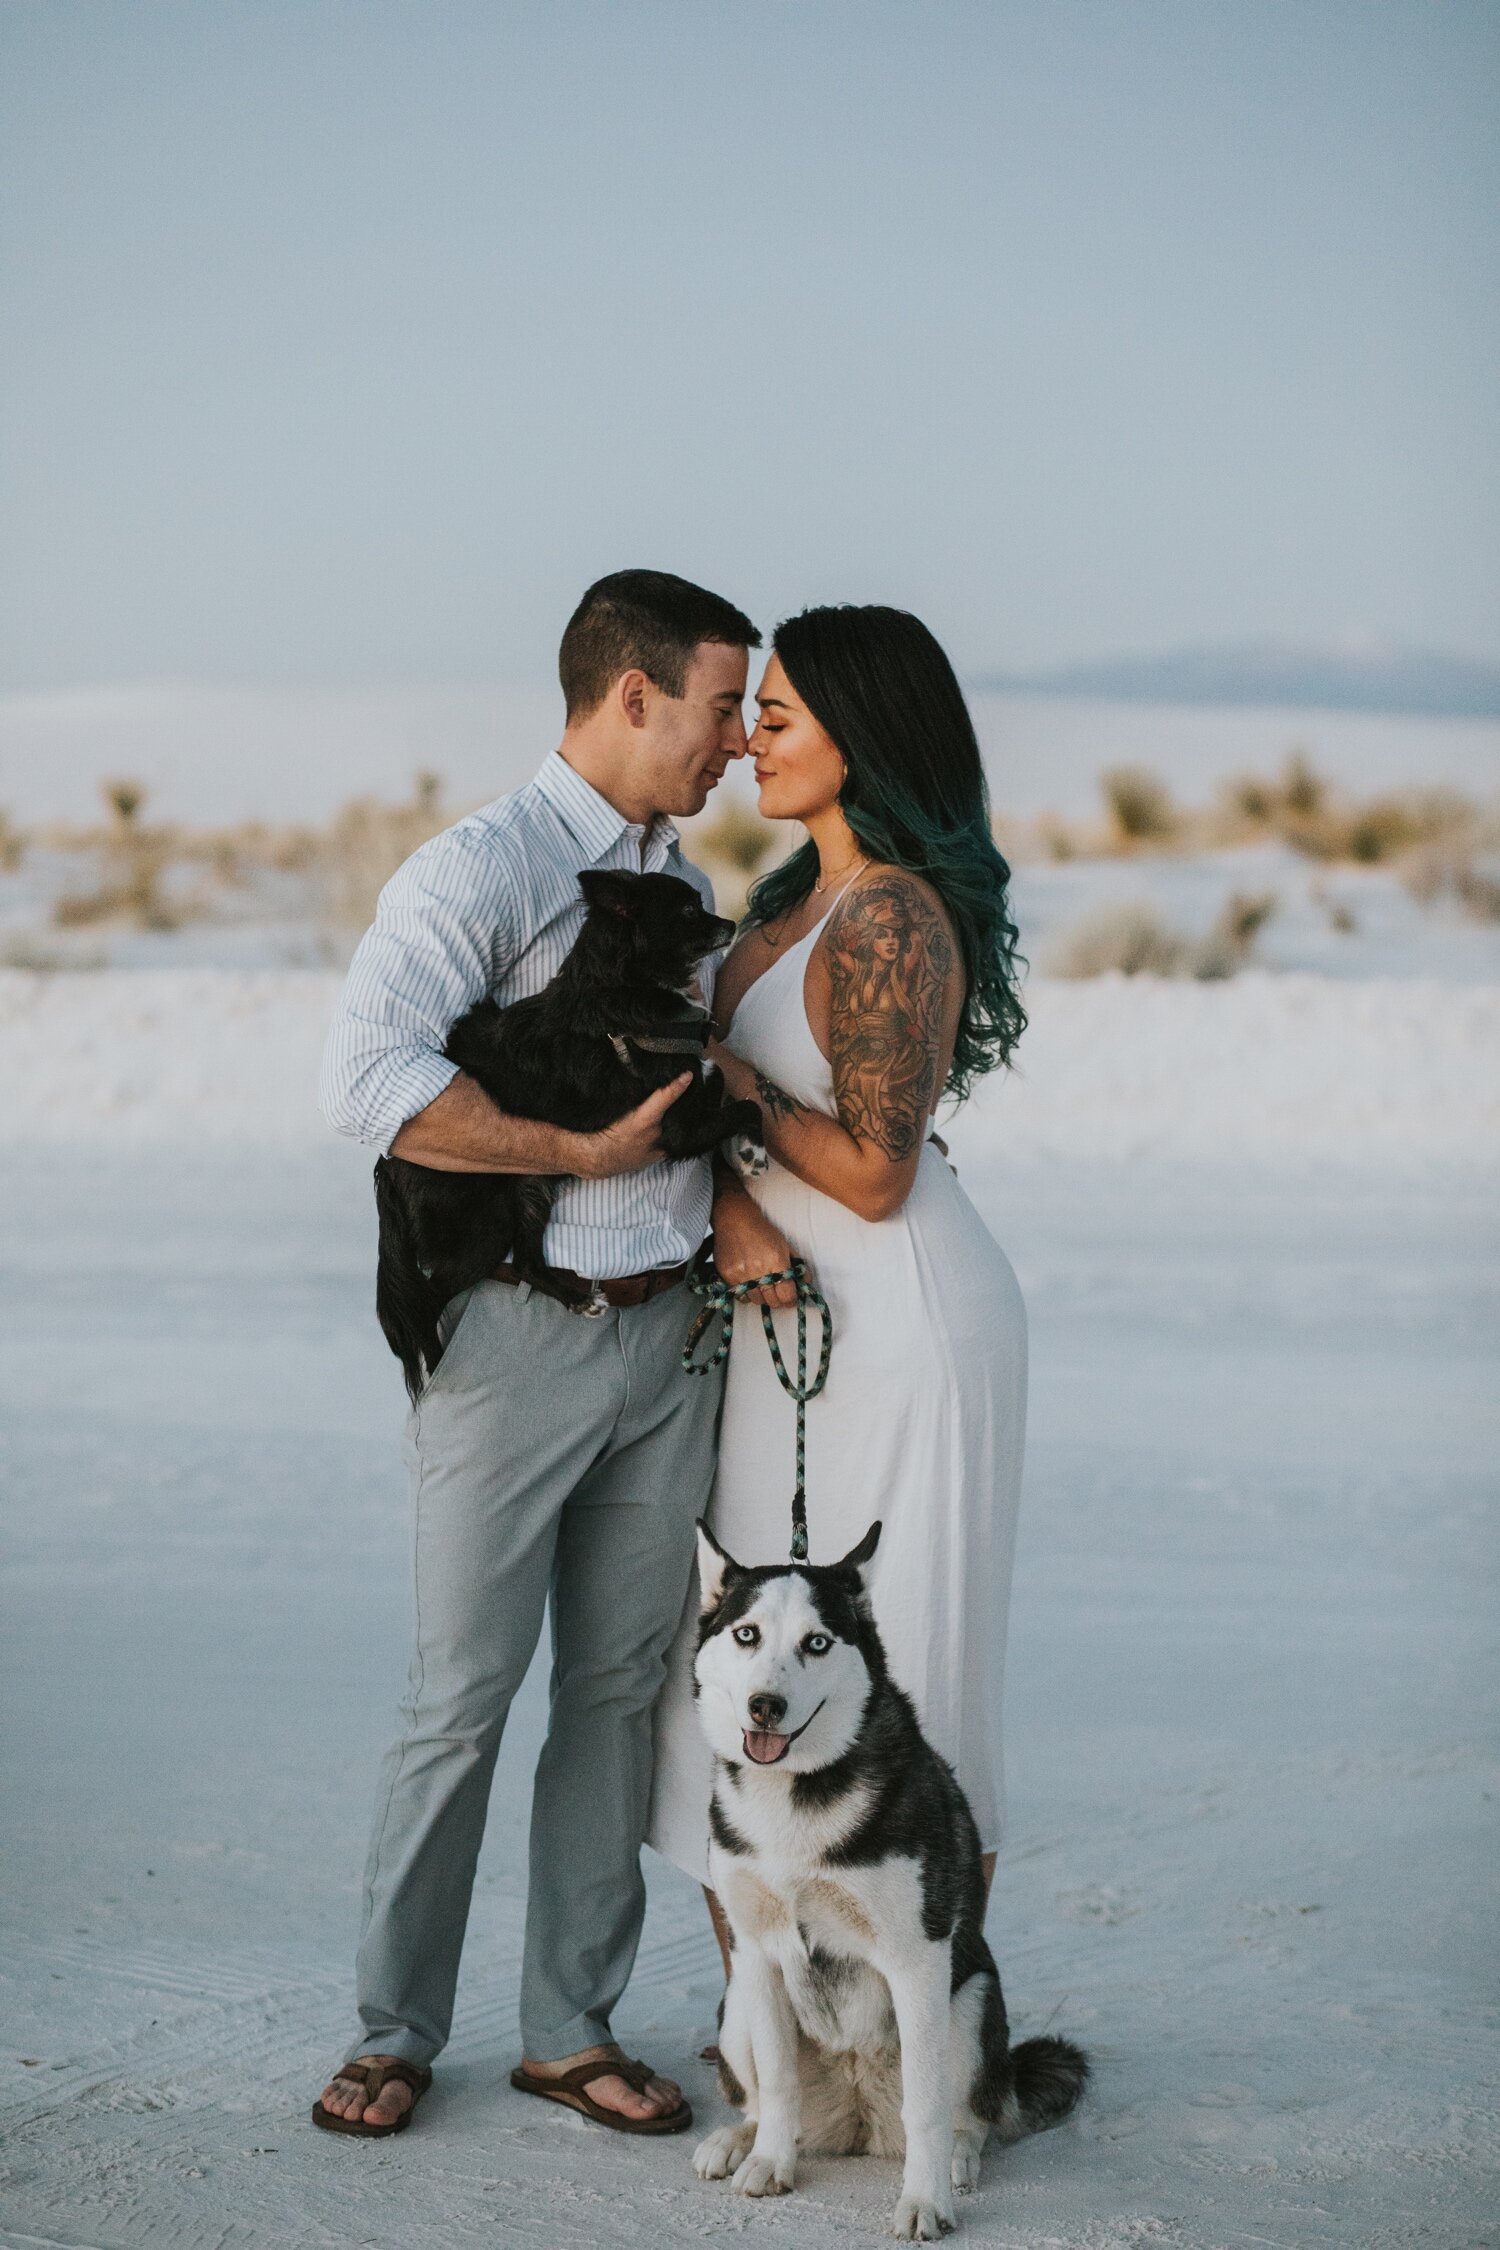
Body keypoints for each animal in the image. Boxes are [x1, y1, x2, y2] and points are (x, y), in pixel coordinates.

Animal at [375, 868, 764, 1395]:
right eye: (689, 910)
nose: (730, 923)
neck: (621, 989)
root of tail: (388, 1163)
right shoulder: (676, 1128)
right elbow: (739, 1098)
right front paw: (753, 1148)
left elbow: (720, 1078)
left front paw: (743, 1146)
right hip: (486, 1225)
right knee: (428, 1304)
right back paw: (438, 1369)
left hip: (530, 1191)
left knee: (526, 1263)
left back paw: (578, 1300)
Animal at [692, 1521, 1092, 2241]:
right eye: (747, 1634)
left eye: (817, 1643)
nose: (766, 1707)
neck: (795, 1794)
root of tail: (855, 2119)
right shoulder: (758, 1952)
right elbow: (780, 2082)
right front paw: (769, 2163)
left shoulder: (917, 1958)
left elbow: (926, 2107)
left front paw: (924, 2201)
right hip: (735, 2007)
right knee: (763, 2098)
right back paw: (741, 2140)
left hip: (970, 2002)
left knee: (967, 2115)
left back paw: (955, 2159)